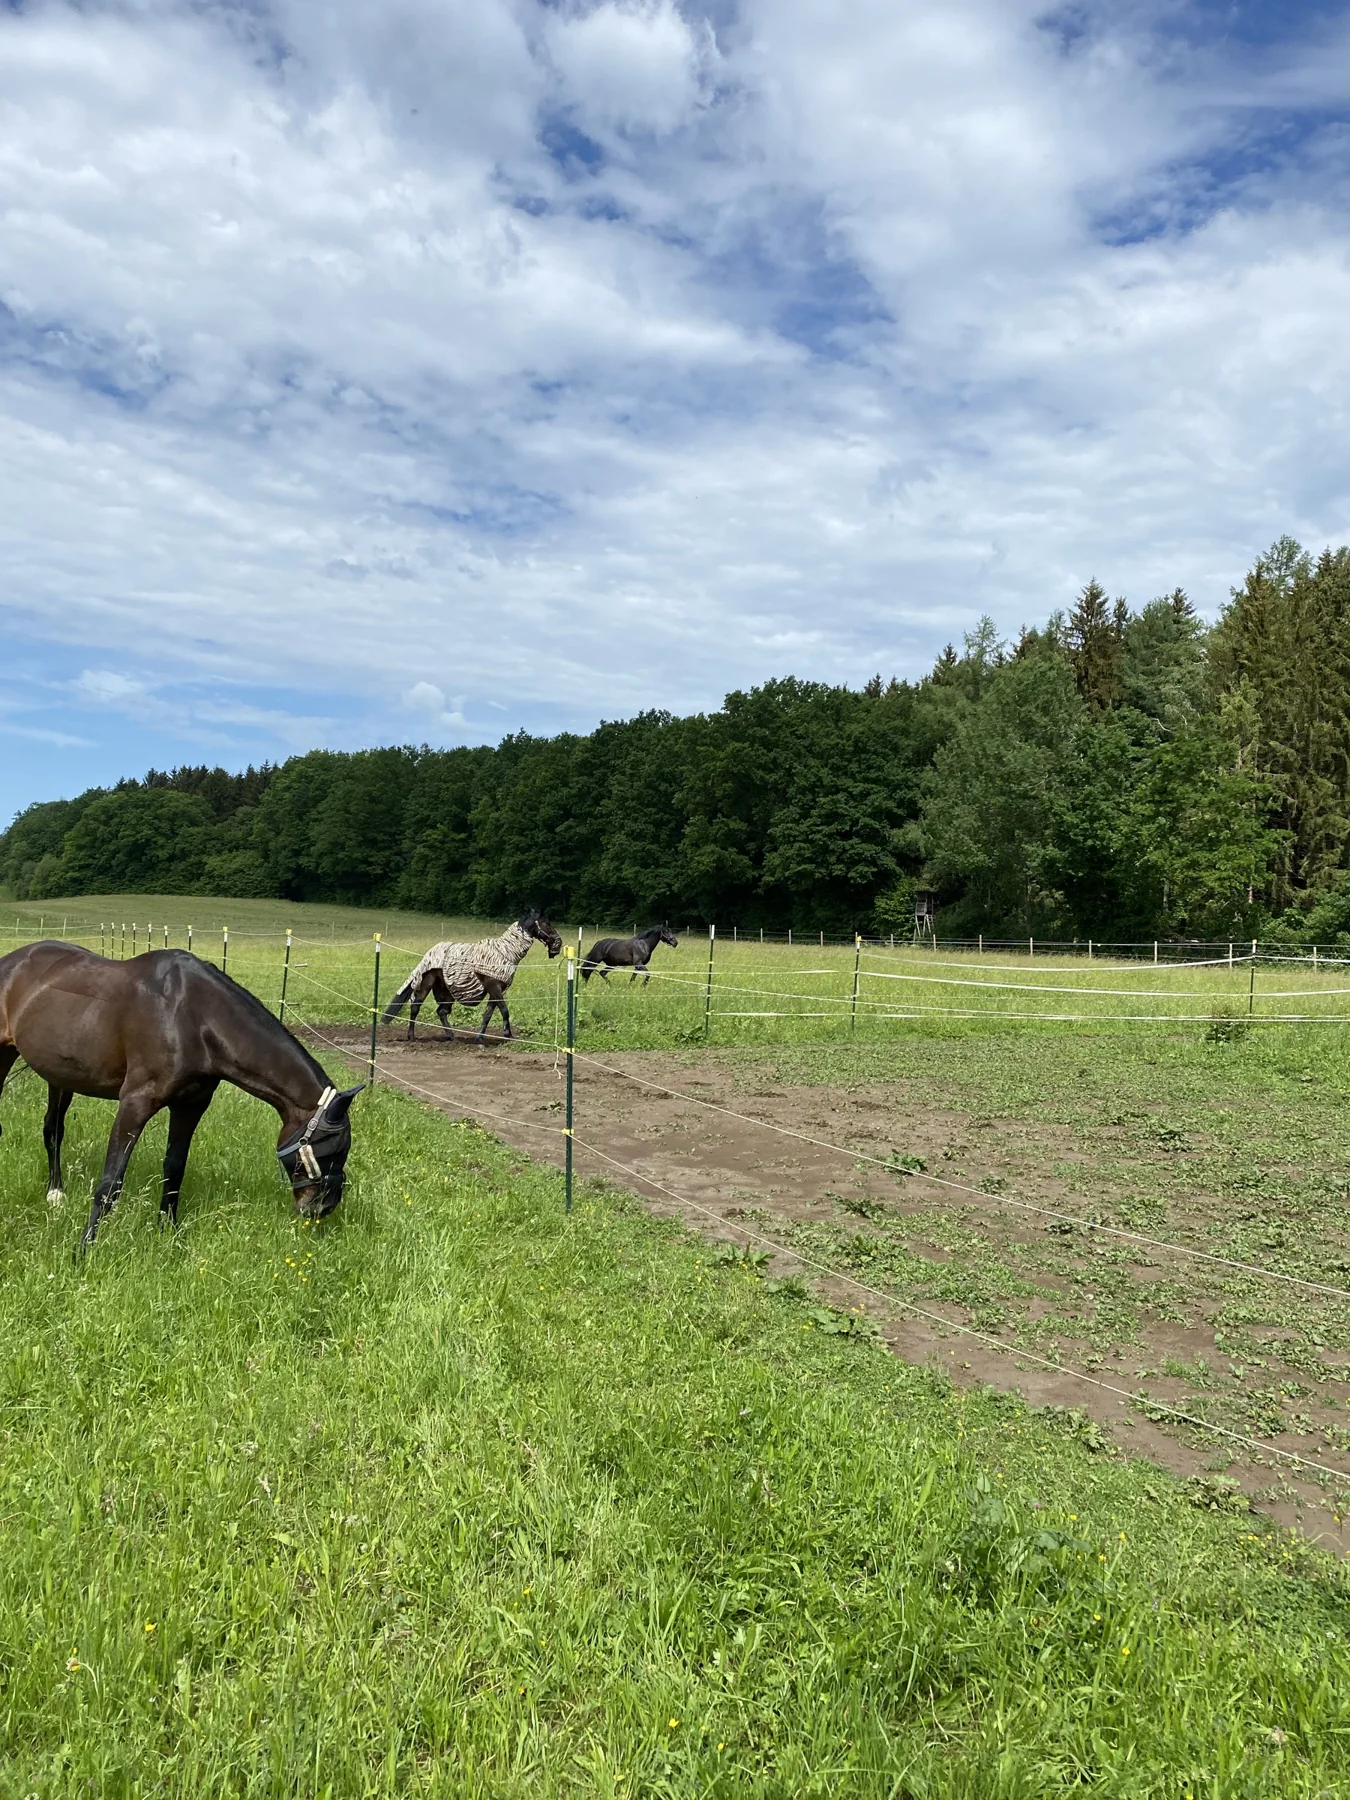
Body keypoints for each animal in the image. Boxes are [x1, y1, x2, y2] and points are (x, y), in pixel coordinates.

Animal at [0, 941, 361, 1254]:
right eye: (330, 1149)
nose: (323, 1207)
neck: (191, 1017)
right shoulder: (135, 1103)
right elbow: (110, 1182)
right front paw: (84, 1250)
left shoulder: (191, 1105)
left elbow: (174, 1168)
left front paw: (169, 1233)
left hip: (60, 1076)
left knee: (53, 1129)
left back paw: (55, 1193)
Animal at [381, 909, 562, 1042]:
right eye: (546, 923)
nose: (558, 941)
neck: (505, 953)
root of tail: (430, 952)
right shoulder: (494, 988)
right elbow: (504, 1010)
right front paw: (508, 1035)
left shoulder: (496, 992)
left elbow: (488, 1014)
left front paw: (480, 1038)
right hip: (426, 984)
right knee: (415, 1007)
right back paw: (411, 1036)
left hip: (447, 990)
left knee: (441, 1012)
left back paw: (451, 1036)